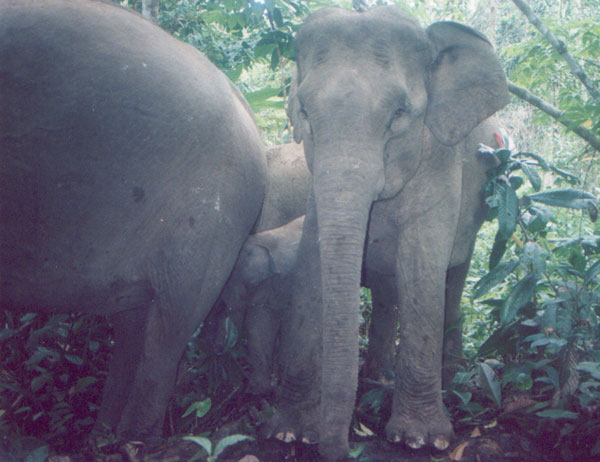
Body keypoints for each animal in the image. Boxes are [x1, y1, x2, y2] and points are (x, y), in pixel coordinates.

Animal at [274, 6, 508, 458]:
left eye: (400, 114)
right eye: (305, 113)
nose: (348, 443)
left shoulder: (440, 158)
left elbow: (421, 267)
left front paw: (421, 439)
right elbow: (310, 263)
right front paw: (292, 432)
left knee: (453, 278)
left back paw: (450, 380)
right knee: (386, 292)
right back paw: (377, 378)